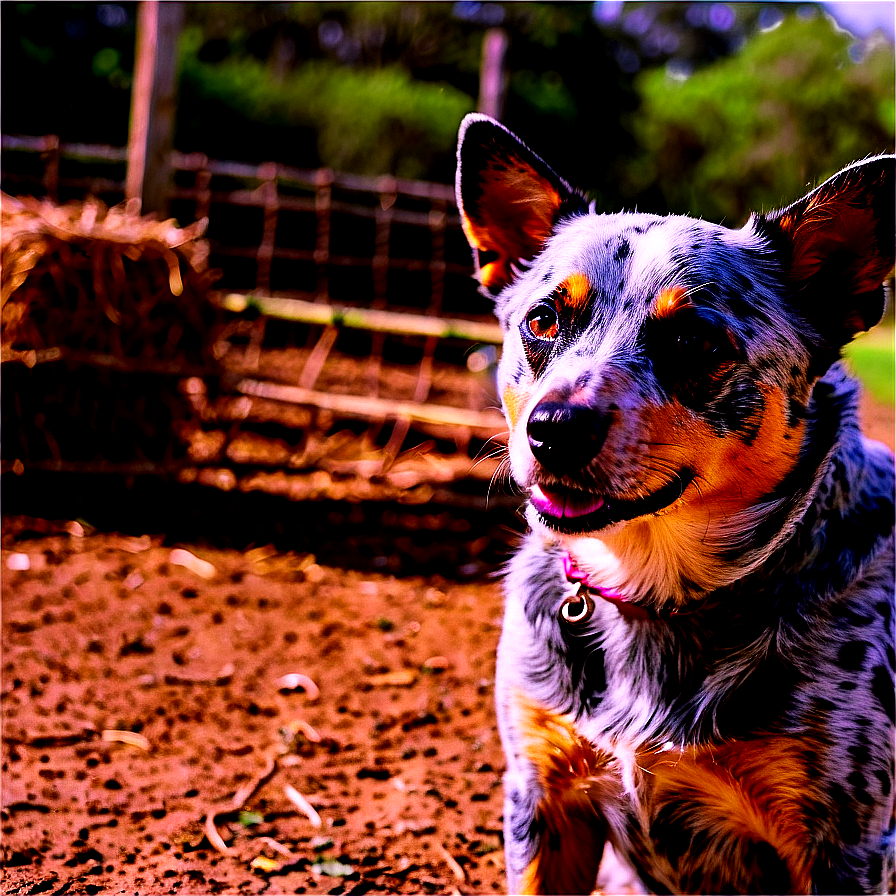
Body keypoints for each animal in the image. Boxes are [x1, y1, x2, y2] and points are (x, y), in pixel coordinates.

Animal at [458, 114, 896, 896]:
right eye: (543, 321)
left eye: (694, 338)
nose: (552, 427)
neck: (654, 593)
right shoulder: (542, 797)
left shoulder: (843, 845)